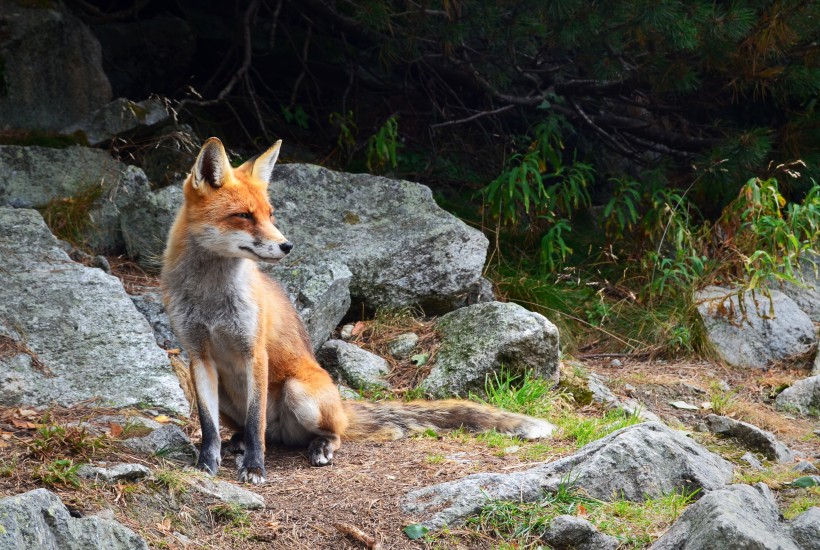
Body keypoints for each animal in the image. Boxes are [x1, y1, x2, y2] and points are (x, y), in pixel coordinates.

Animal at [160, 138, 556, 488]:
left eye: (270, 215)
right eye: (243, 216)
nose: (287, 245)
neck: (210, 298)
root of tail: (338, 404)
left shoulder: (254, 353)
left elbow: (256, 421)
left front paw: (255, 469)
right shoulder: (198, 355)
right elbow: (208, 427)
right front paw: (205, 465)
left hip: (299, 392)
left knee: (321, 433)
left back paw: (318, 447)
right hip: (229, 395)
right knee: (254, 430)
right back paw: (239, 443)